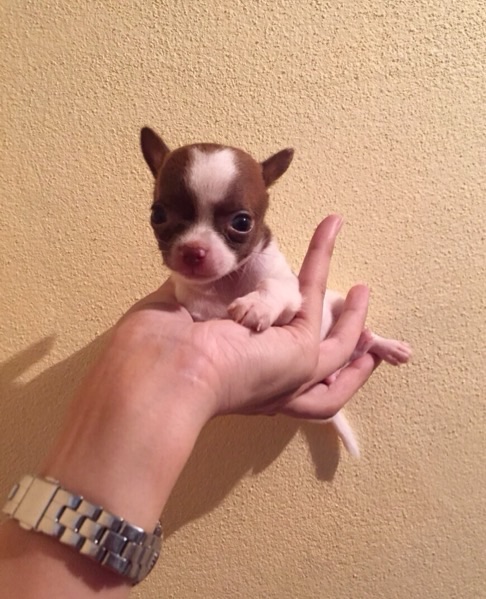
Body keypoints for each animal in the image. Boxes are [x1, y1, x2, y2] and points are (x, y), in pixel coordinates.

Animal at [140, 127, 411, 456]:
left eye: (242, 222)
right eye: (158, 215)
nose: (194, 251)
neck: (228, 282)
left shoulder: (288, 290)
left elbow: (272, 285)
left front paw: (257, 305)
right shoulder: (198, 307)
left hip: (339, 301)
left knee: (366, 335)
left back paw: (386, 345)